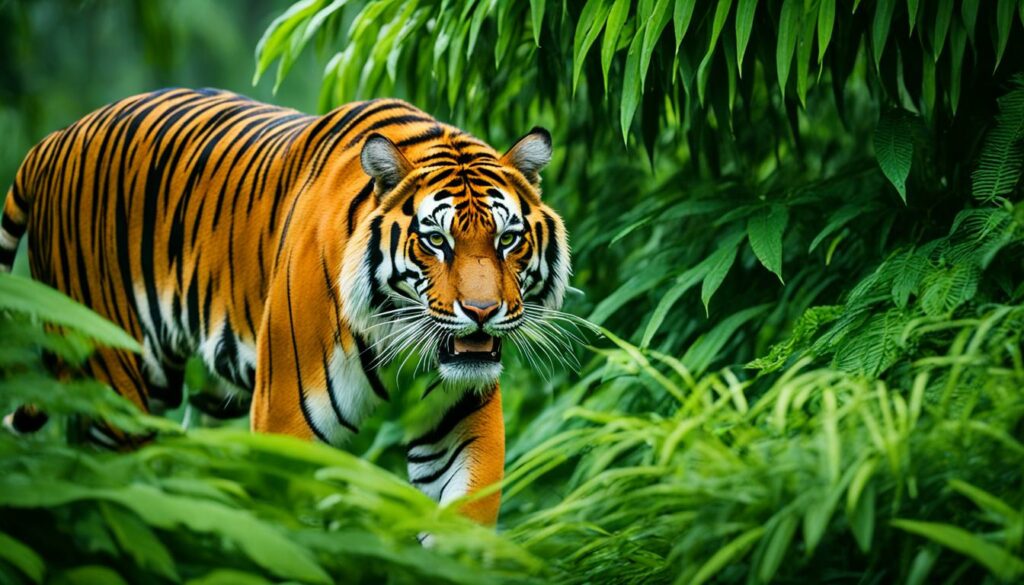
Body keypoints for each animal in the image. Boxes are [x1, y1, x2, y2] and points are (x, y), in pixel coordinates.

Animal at [0, 88, 573, 524]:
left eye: (507, 239)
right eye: (437, 241)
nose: (482, 312)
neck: (395, 334)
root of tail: (53, 141)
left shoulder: (462, 424)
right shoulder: (285, 424)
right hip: (113, 384)